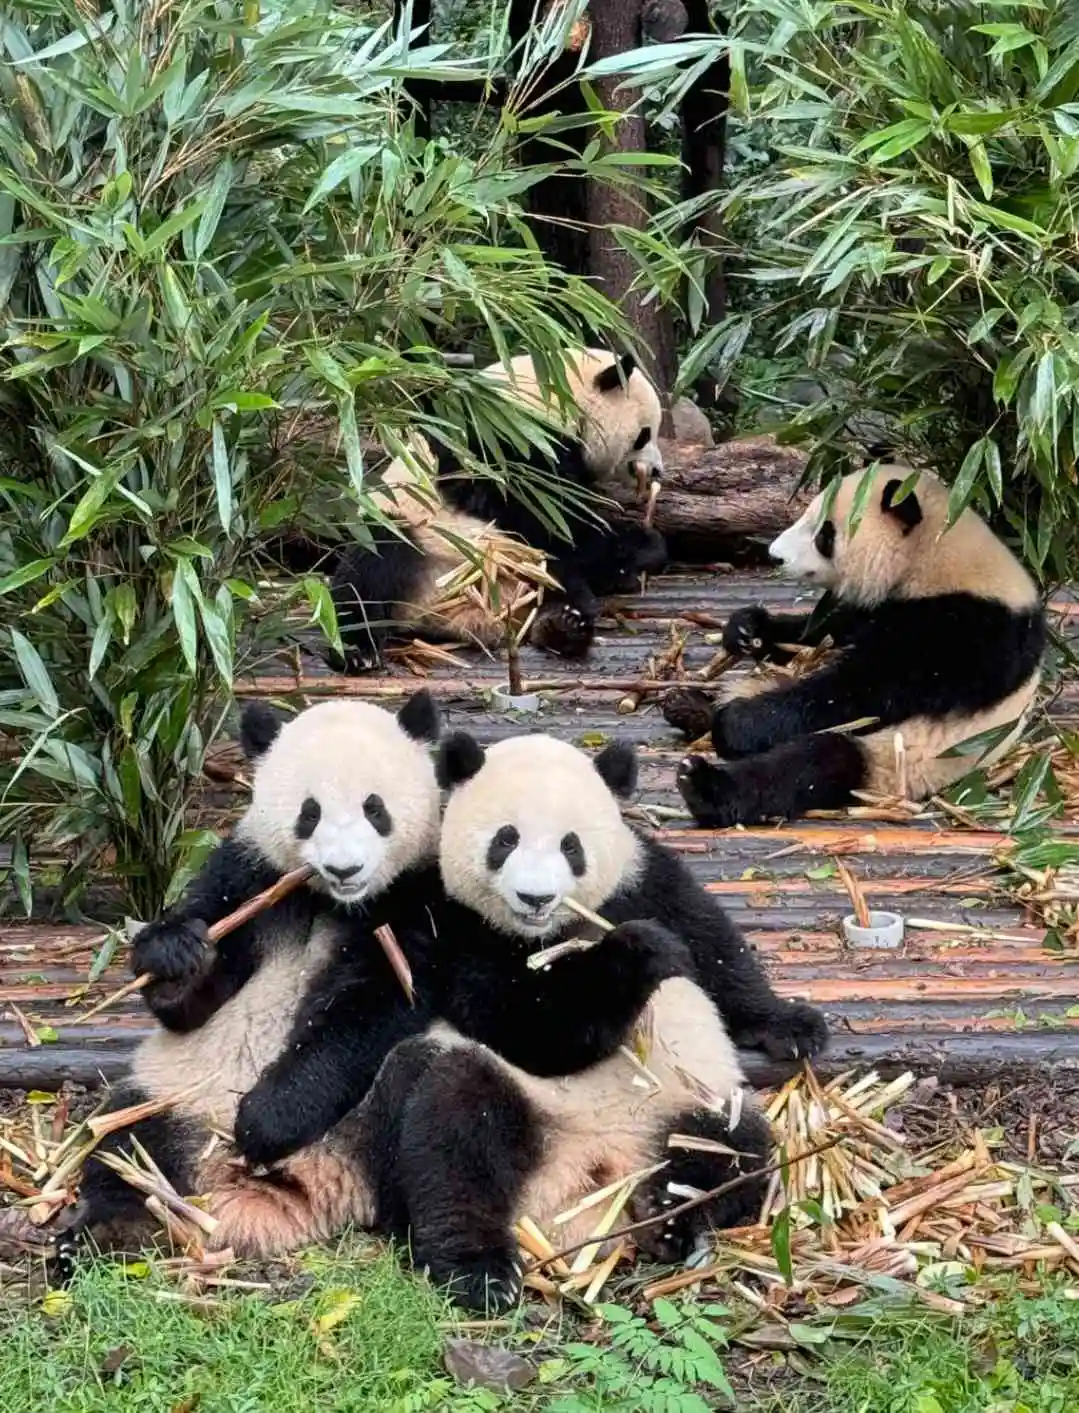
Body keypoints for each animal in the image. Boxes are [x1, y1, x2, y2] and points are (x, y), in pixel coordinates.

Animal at [62, 692, 445, 1262]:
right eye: (310, 812)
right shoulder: (249, 874)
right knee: (126, 1142)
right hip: (176, 1093)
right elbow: (199, 992)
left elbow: (371, 1007)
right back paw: (110, 1228)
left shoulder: (417, 898)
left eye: (375, 808)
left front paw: (268, 1119)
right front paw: (176, 956)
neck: (330, 901)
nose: (345, 869)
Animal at [312, 731, 829, 1312]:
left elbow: (715, 949)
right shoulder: (458, 926)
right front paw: (640, 952)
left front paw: (793, 1026)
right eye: (505, 840)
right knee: (453, 1135)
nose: (535, 898)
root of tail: (590, 1184)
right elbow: (530, 1026)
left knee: (735, 1144)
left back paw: (670, 1217)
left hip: (688, 1104)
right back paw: (479, 1270)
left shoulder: (643, 877)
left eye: (571, 846)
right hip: (515, 1107)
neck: (550, 932)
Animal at [329, 348, 668, 670]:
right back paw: (357, 651)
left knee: (555, 585)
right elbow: (546, 520)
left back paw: (563, 625)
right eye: (644, 435)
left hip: (519, 580)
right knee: (372, 561)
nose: (657, 471)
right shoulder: (501, 441)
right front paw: (638, 545)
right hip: (417, 532)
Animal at [663, 466, 1047, 827]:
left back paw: (704, 783)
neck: (937, 556)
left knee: (815, 763)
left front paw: (741, 722)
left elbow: (864, 688)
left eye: (824, 533)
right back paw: (689, 706)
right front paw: (747, 628)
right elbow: (822, 633)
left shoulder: (968, 631)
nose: (774, 556)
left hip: (902, 759)